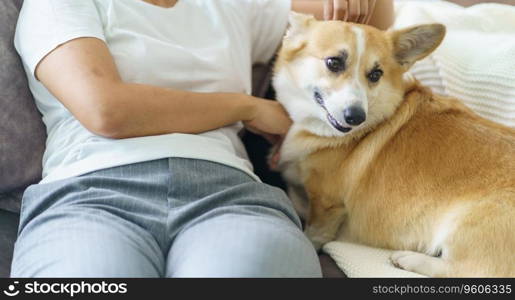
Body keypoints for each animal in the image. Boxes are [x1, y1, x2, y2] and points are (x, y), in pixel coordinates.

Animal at [272, 13, 512, 276]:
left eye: (376, 74)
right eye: (334, 62)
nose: (356, 117)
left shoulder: (326, 204)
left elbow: (313, 233)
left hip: (464, 225)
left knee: (460, 270)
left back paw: (408, 259)